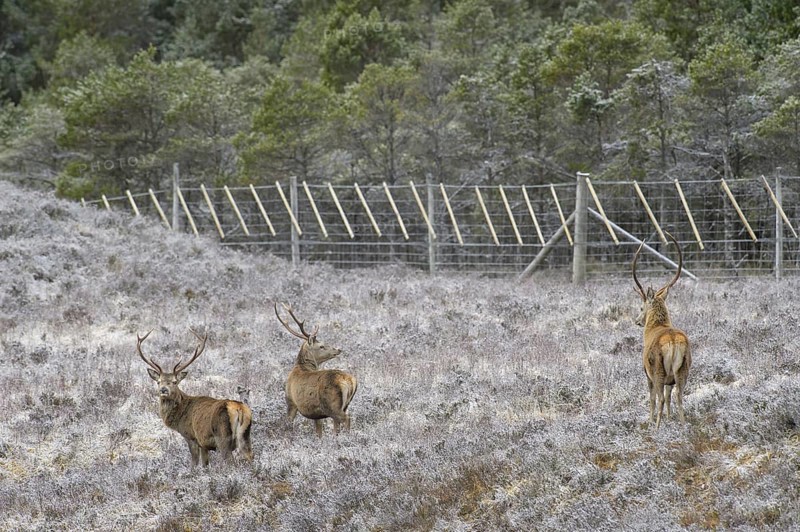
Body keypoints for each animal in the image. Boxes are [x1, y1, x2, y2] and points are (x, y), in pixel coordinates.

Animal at [136, 329, 254, 467]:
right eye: (158, 381)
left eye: (175, 381)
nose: (163, 390)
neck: (179, 416)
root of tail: (239, 408)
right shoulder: (203, 443)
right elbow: (205, 464)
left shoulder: (191, 437)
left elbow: (194, 463)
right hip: (245, 435)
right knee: (250, 456)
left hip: (222, 435)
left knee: (229, 461)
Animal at [274, 302, 358, 438]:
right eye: (321, 346)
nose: (338, 349)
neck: (301, 367)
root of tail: (349, 381)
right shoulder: (316, 413)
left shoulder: (291, 402)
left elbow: (290, 424)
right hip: (345, 404)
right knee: (338, 424)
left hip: (332, 405)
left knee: (347, 418)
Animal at [632, 231, 692, 430]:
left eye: (641, 307)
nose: (637, 321)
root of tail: (673, 341)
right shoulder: (671, 380)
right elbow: (669, 397)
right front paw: (669, 418)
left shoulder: (646, 373)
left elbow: (651, 399)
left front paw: (649, 420)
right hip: (683, 370)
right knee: (679, 397)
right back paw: (682, 426)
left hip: (657, 370)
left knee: (659, 400)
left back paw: (657, 428)